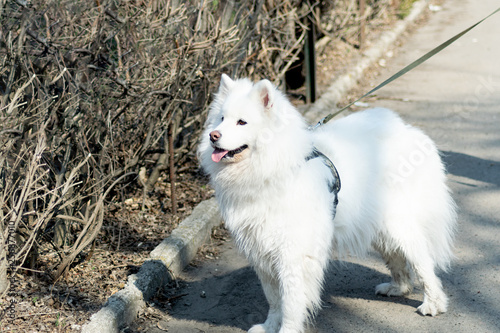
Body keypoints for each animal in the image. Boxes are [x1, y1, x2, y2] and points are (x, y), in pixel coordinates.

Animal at [198, 75, 458, 332]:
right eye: (221, 119)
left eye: (242, 122)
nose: (213, 136)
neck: (275, 169)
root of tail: (412, 133)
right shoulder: (261, 251)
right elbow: (273, 299)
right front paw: (269, 326)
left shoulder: (292, 254)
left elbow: (290, 301)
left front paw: (287, 329)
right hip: (377, 226)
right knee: (397, 259)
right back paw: (397, 288)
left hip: (397, 224)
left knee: (423, 263)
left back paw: (433, 304)